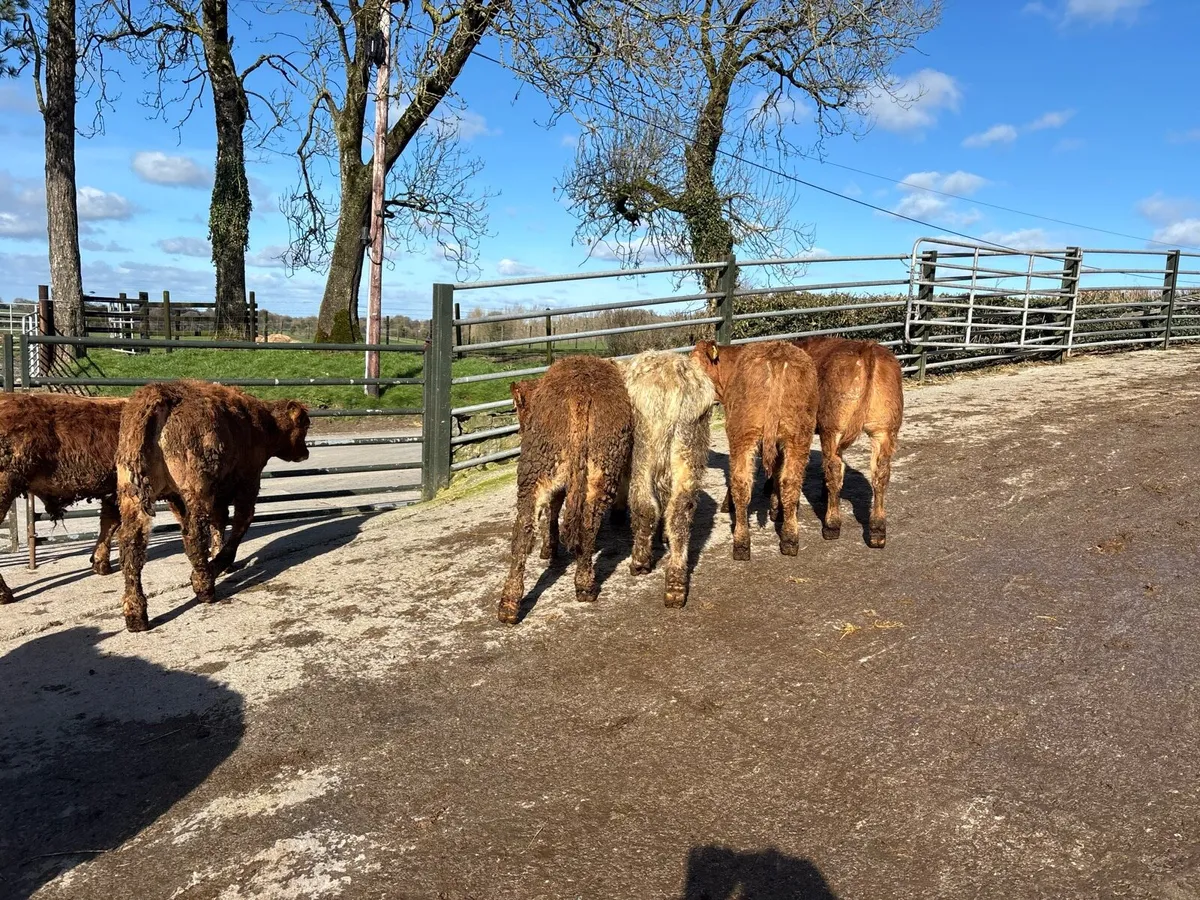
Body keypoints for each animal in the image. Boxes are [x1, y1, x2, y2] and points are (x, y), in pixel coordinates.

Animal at [114, 380, 310, 632]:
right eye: (304, 425)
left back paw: (136, 614)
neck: (261, 423)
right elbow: (240, 522)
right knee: (194, 536)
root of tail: (160, 392)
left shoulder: (186, 497)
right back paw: (204, 586)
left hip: (132, 493)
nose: (306, 452)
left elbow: (219, 522)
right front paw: (219, 563)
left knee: (132, 545)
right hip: (197, 488)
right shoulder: (248, 481)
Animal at [499, 356, 633, 624]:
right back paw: (584, 585)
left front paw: (549, 548)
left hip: (541, 465)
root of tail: (579, 391)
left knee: (524, 528)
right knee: (586, 524)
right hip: (593, 464)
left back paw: (509, 605)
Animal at [616, 350, 716, 608]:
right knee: (681, 509)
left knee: (645, 505)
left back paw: (640, 561)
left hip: (645, 446)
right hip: (689, 444)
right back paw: (676, 583)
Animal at [691, 340, 818, 560]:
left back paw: (741, 544)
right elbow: (777, 472)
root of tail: (777, 356)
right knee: (790, 481)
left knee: (741, 482)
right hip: (798, 435)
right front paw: (776, 509)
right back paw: (789, 539)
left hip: (742, 434)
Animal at [789, 336, 903, 548]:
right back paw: (877, 531)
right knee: (880, 473)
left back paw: (831, 525)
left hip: (833, 429)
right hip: (883, 430)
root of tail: (866, 349)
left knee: (834, 468)